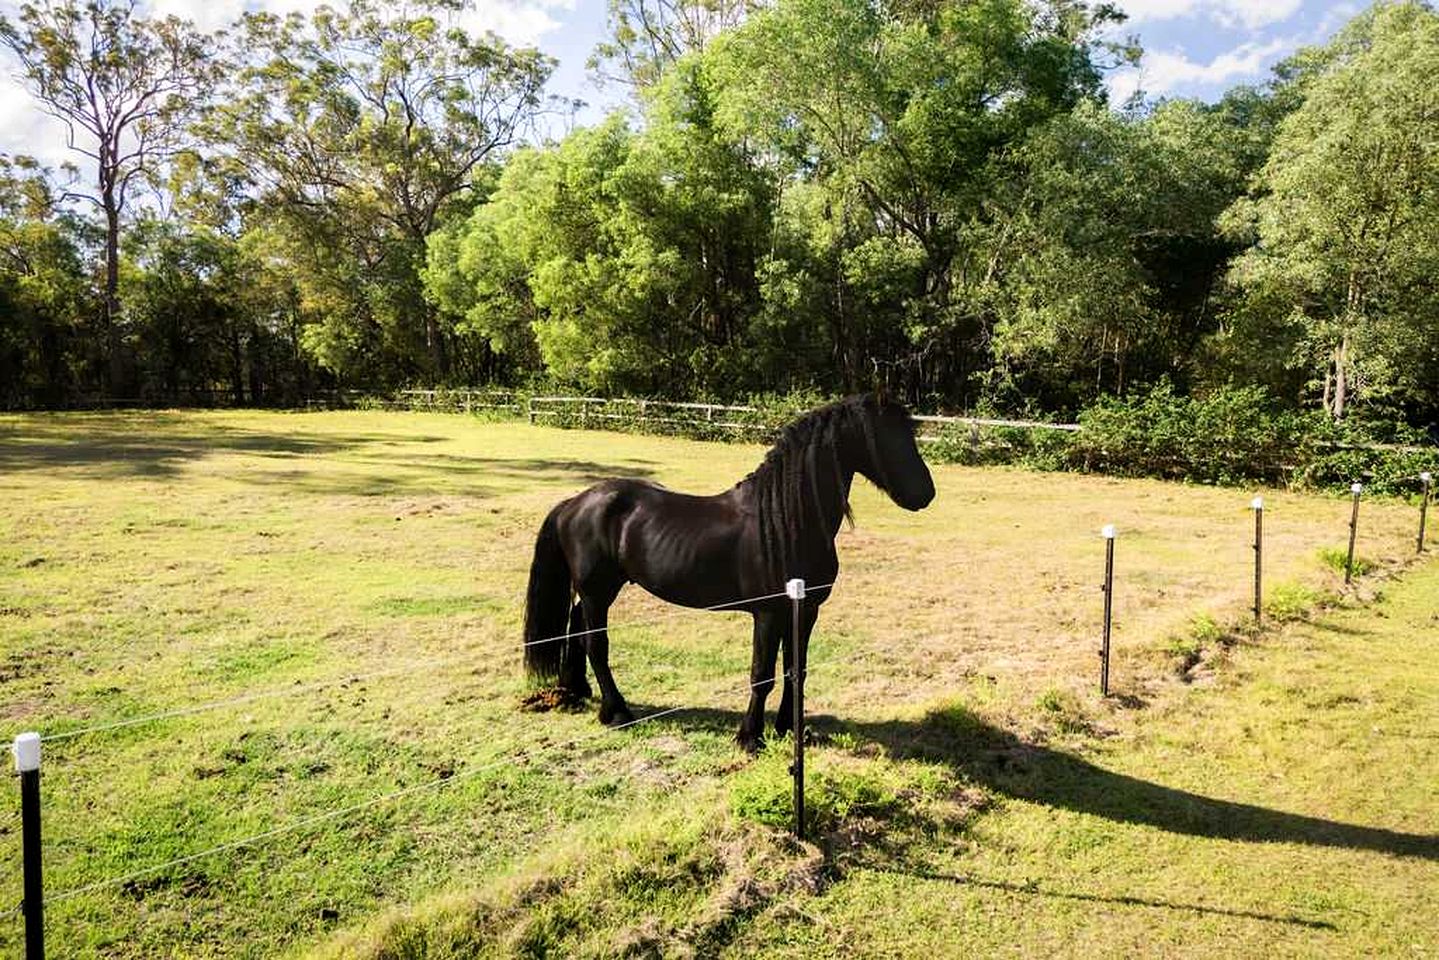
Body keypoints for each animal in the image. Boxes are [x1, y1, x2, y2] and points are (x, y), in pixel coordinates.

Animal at [520, 392, 935, 750]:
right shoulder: (767, 613)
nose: (925, 494)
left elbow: (795, 670)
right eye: (885, 437)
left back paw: (577, 692)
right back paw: (617, 711)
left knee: (576, 628)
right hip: (597, 591)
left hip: (599, 590)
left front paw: (788, 729)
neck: (787, 521)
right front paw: (750, 737)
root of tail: (574, 502)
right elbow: (762, 674)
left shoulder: (805, 611)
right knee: (596, 643)